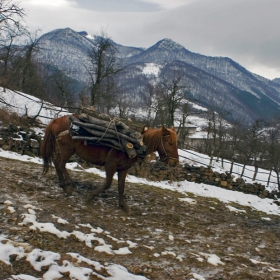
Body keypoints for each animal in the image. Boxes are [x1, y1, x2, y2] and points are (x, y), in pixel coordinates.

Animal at [40, 115, 178, 209]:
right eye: (170, 142)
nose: (175, 163)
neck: (136, 145)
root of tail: (58, 120)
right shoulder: (111, 165)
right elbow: (108, 183)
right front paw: (90, 196)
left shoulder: (123, 169)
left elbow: (121, 187)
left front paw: (123, 206)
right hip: (67, 150)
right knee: (60, 164)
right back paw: (69, 186)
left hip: (65, 151)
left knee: (57, 163)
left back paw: (63, 185)